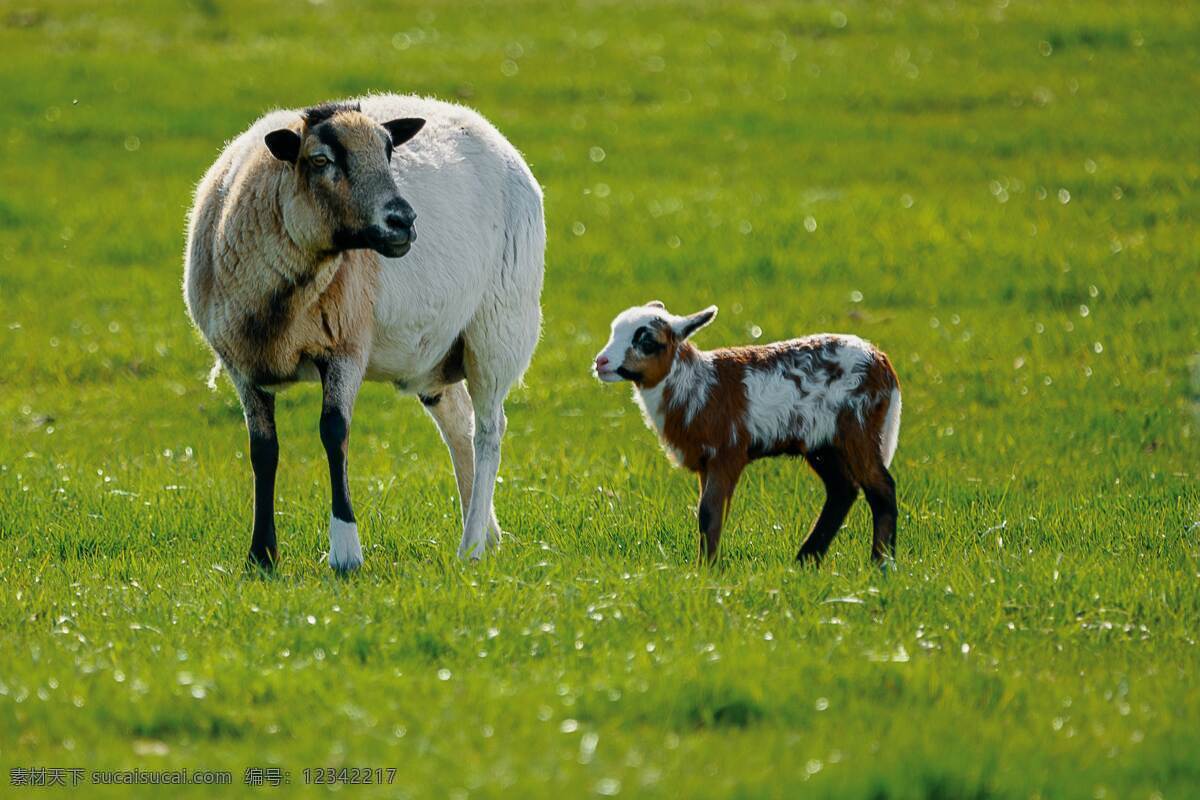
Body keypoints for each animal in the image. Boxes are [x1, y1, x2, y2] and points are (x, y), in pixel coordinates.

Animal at [182, 95, 544, 568]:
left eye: (389, 152)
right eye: (320, 160)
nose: (404, 221)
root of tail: (490, 131)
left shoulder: (346, 346)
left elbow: (334, 432)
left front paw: (345, 552)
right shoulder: (240, 364)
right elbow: (263, 451)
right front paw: (261, 555)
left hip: (499, 327)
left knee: (489, 430)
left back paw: (470, 548)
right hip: (439, 351)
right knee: (458, 424)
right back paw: (485, 532)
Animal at [590, 303, 902, 566]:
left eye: (647, 342)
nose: (601, 362)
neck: (697, 384)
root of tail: (882, 362)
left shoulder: (726, 453)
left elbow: (709, 513)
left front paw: (706, 571)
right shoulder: (706, 462)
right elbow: (706, 514)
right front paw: (705, 566)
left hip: (859, 427)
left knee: (881, 489)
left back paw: (881, 564)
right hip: (823, 443)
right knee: (842, 490)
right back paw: (805, 562)